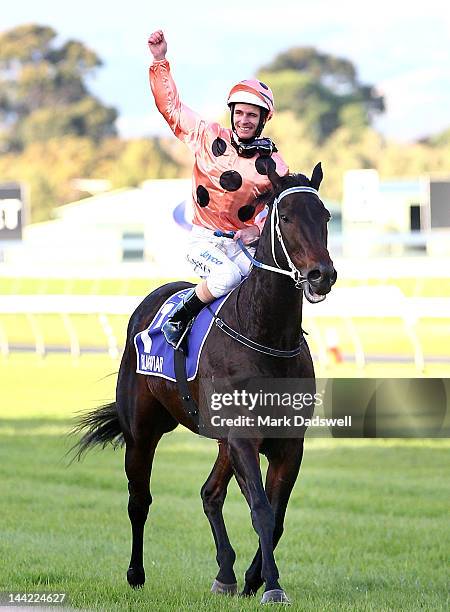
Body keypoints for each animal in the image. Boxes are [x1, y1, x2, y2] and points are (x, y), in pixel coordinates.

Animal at [73, 164, 334, 608]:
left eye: (326, 216)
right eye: (285, 218)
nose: (322, 275)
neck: (266, 335)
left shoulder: (287, 442)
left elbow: (276, 516)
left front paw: (253, 579)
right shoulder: (243, 438)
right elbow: (262, 510)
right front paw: (272, 586)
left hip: (220, 441)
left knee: (210, 494)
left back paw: (225, 574)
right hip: (142, 432)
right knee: (139, 500)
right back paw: (136, 574)